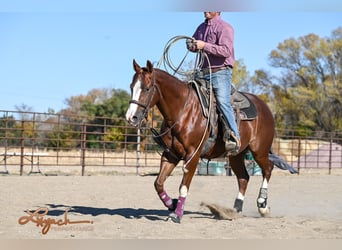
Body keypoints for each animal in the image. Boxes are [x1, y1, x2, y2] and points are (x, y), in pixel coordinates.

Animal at [125, 60, 278, 223]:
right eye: (131, 87)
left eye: (147, 88)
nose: (130, 117)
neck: (183, 111)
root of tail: (265, 107)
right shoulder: (171, 155)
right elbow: (158, 183)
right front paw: (172, 204)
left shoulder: (193, 155)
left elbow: (183, 187)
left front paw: (177, 214)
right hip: (237, 155)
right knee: (244, 178)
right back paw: (234, 211)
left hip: (259, 150)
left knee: (268, 169)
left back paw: (262, 205)